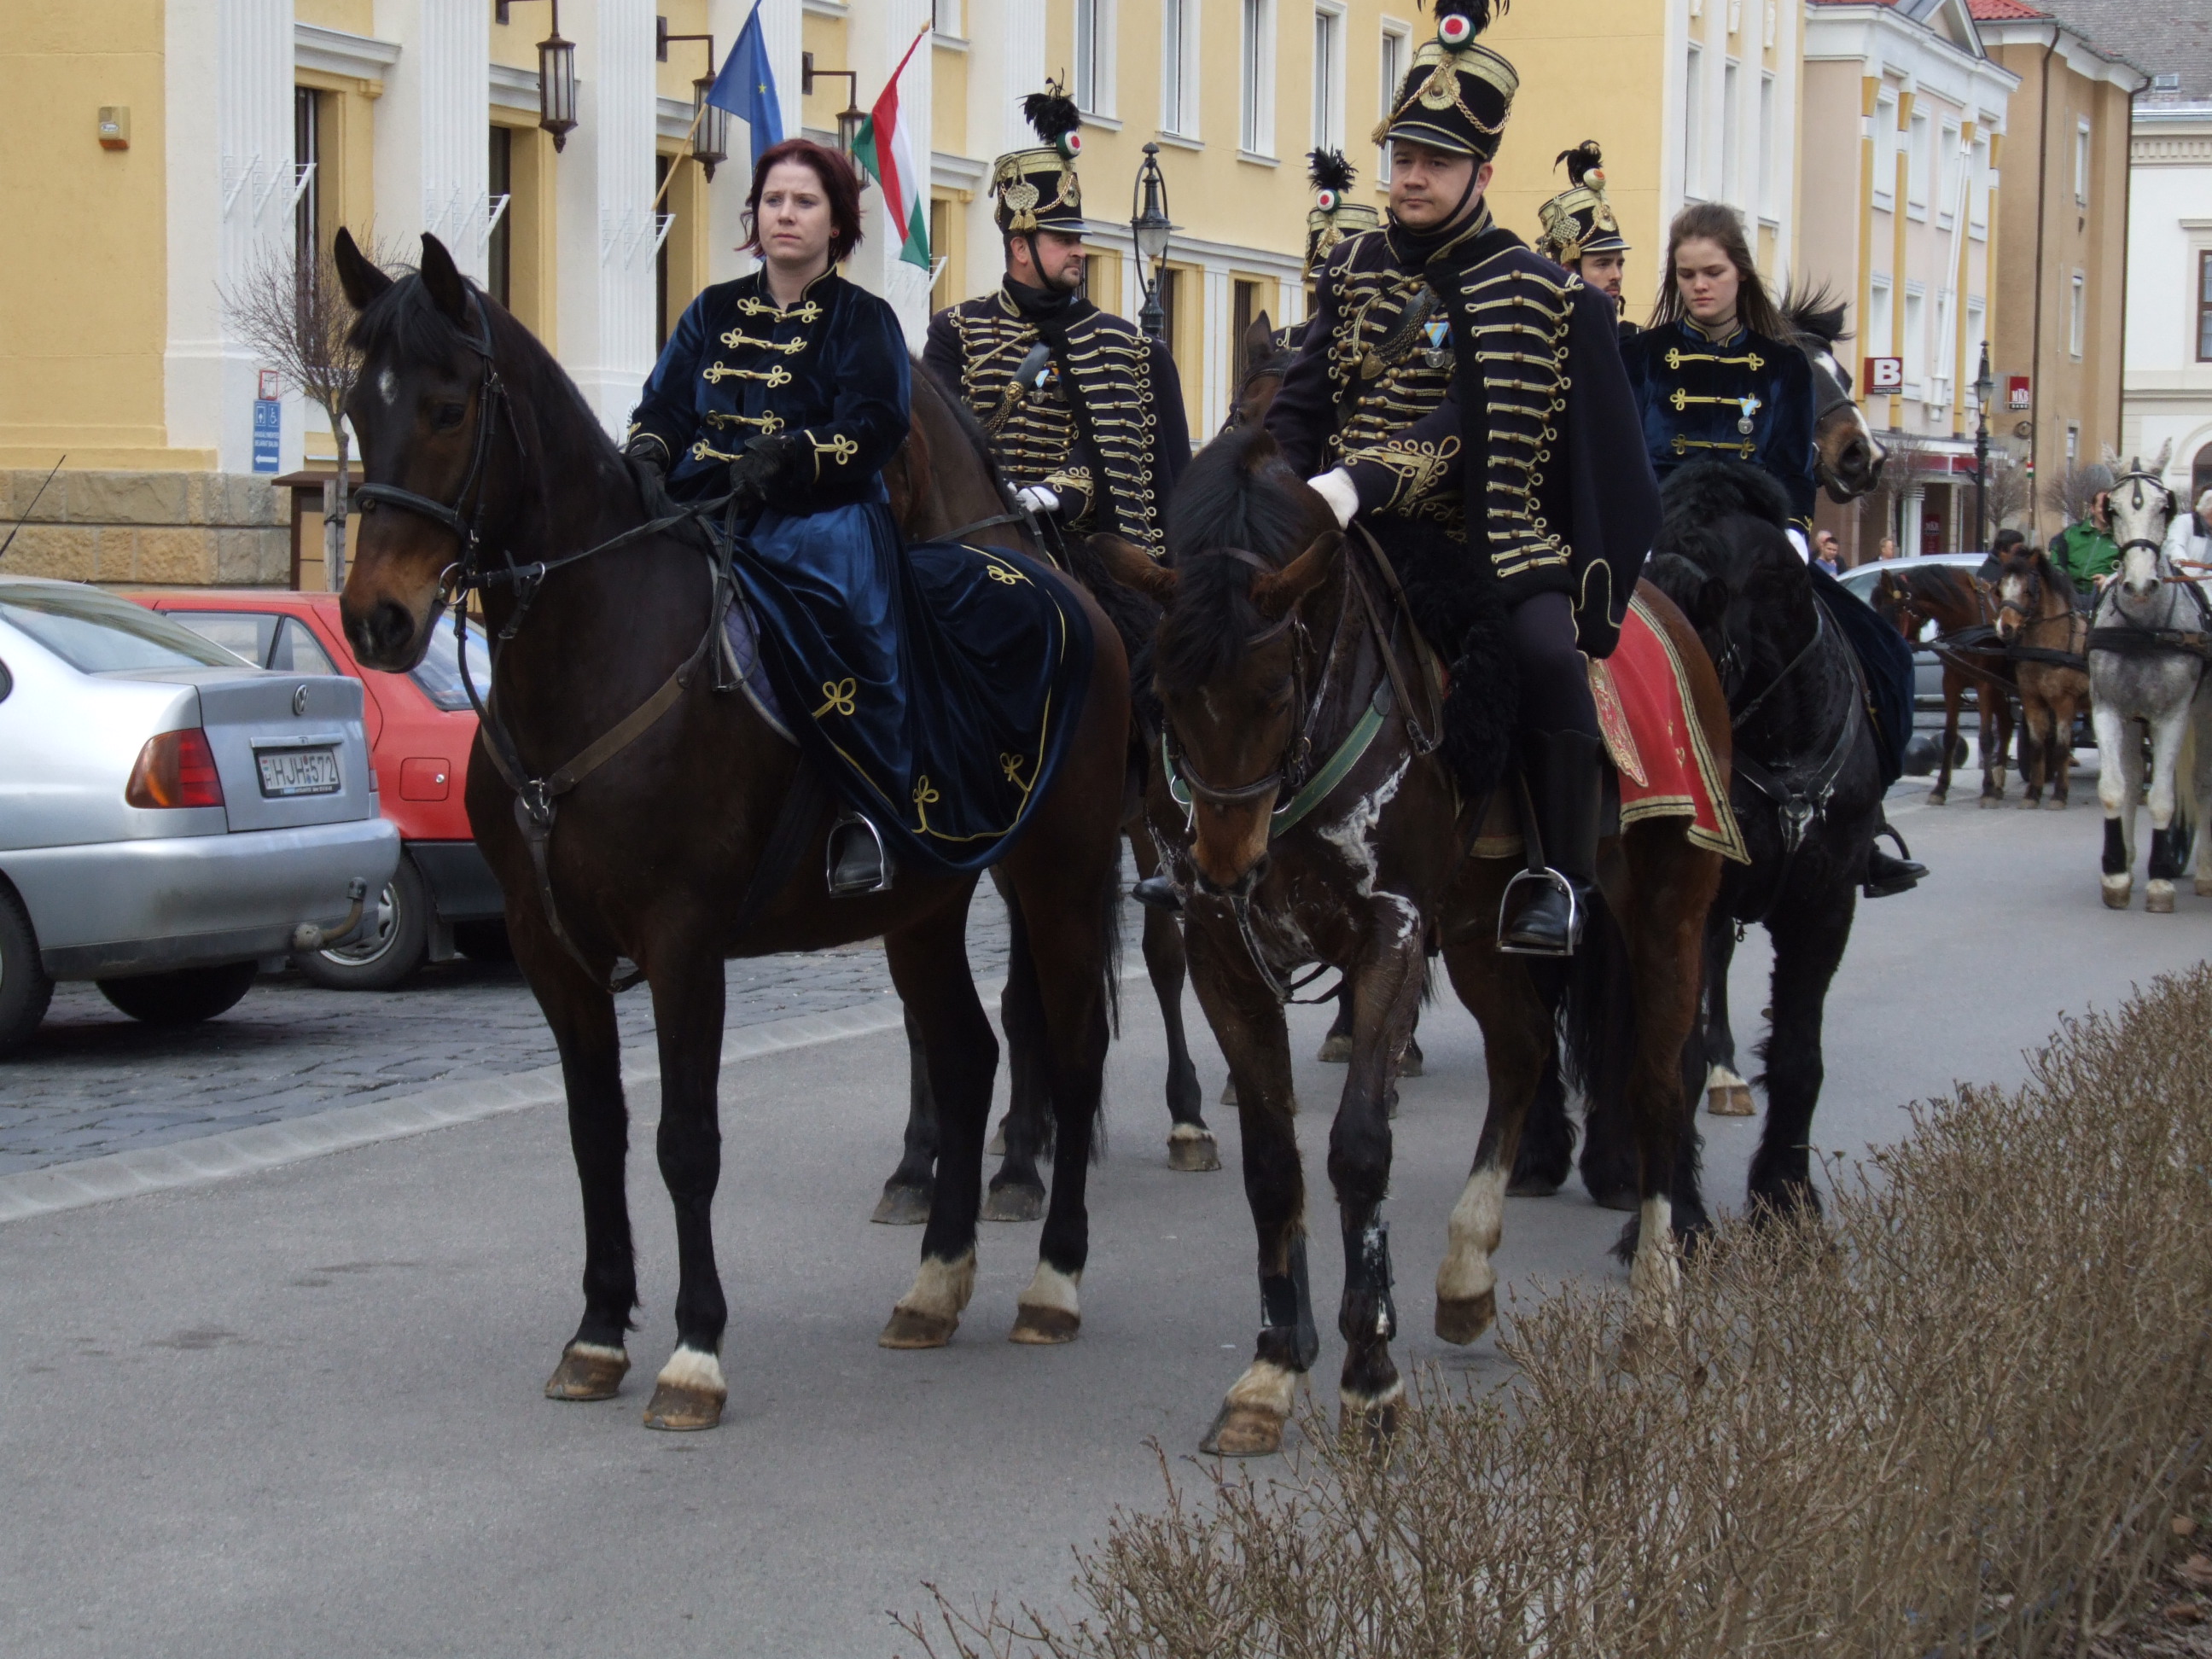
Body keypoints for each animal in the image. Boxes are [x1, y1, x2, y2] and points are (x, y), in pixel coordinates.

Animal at [331, 229, 1131, 1432]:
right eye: (351, 403)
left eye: (446, 407)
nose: (376, 620)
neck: (597, 649)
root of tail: (1051, 573)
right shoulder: (550, 950)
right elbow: (596, 1136)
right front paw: (597, 1332)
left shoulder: (683, 942)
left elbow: (686, 1142)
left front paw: (694, 1350)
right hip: (926, 904)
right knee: (964, 1056)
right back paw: (934, 1287)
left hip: (1062, 877)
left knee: (1072, 1054)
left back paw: (1055, 1281)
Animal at [1098, 427, 1727, 1457]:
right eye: (1166, 692)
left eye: (1275, 691)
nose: (1225, 865)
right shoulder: (1226, 956)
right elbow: (1273, 1163)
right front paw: (1270, 1374)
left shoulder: (1388, 934)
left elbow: (1359, 1148)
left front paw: (1370, 1378)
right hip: (1475, 933)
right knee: (1521, 1056)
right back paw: (1468, 1274)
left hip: (1669, 911)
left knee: (1658, 1090)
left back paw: (1654, 1306)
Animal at [1871, 565, 2016, 806]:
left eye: (1895, 609)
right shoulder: (1951, 683)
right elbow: (1949, 737)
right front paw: (1940, 788)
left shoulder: (1984, 684)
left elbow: (1985, 738)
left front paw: (1986, 789)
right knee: (2007, 725)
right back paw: (1999, 781)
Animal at [1993, 545, 2090, 812]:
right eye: (1999, 589)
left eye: (2028, 590)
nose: (2005, 627)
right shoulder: (2032, 700)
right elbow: (2038, 746)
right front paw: (2032, 793)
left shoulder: (2065, 702)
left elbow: (2061, 747)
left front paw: (2059, 795)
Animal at [2086, 445, 2210, 912]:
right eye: (2113, 508)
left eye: (2164, 506)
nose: (2139, 584)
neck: (2143, 628)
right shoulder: (2107, 709)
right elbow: (2114, 788)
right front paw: (2115, 873)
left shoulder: (2172, 716)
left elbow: (2163, 799)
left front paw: (2160, 882)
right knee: (2135, 772)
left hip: (2203, 713)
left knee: (2201, 782)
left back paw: (2204, 872)